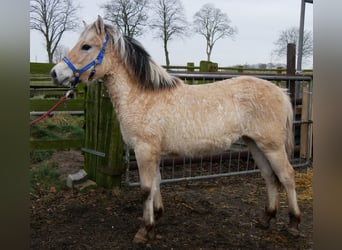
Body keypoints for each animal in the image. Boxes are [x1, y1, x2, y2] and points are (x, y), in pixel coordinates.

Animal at [49, 16, 300, 243]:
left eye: (86, 46)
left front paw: (145, 230)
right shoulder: (153, 152)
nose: (55, 73)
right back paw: (266, 219)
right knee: (269, 176)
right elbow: (156, 183)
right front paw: (157, 217)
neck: (142, 97)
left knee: (287, 176)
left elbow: (146, 188)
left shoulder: (144, 150)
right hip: (254, 144)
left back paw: (294, 223)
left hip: (272, 146)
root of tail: (281, 92)